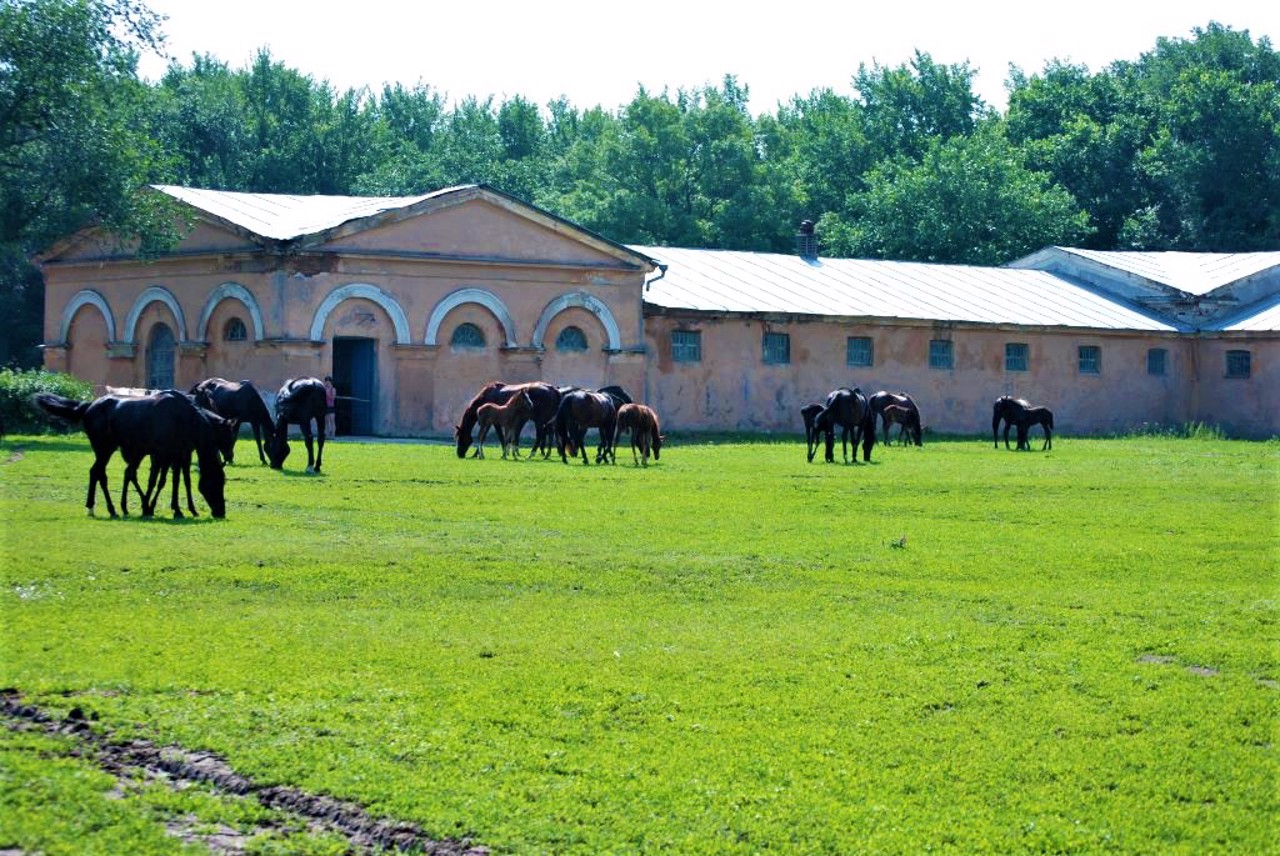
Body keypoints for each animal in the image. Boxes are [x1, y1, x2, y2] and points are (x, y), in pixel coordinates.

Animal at [34, 388, 230, 522]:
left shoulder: (178, 454)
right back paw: (107, 508)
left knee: (101, 473)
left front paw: (177, 510)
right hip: (104, 449)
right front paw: (150, 508)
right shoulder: (161, 454)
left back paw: (105, 508)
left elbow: (176, 481)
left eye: (223, 482)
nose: (221, 512)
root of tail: (89, 406)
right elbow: (156, 481)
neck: (182, 418)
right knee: (98, 473)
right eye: (213, 483)